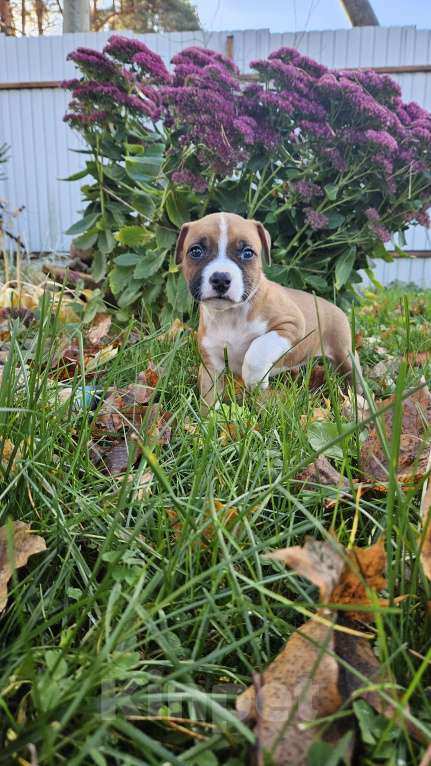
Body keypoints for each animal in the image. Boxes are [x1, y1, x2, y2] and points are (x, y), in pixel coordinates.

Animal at [176, 213, 362, 412]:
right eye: (196, 251)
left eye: (247, 253)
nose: (220, 279)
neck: (230, 315)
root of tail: (334, 306)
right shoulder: (211, 366)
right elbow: (209, 398)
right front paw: (208, 418)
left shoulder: (292, 325)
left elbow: (259, 346)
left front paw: (254, 379)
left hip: (344, 353)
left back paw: (359, 400)